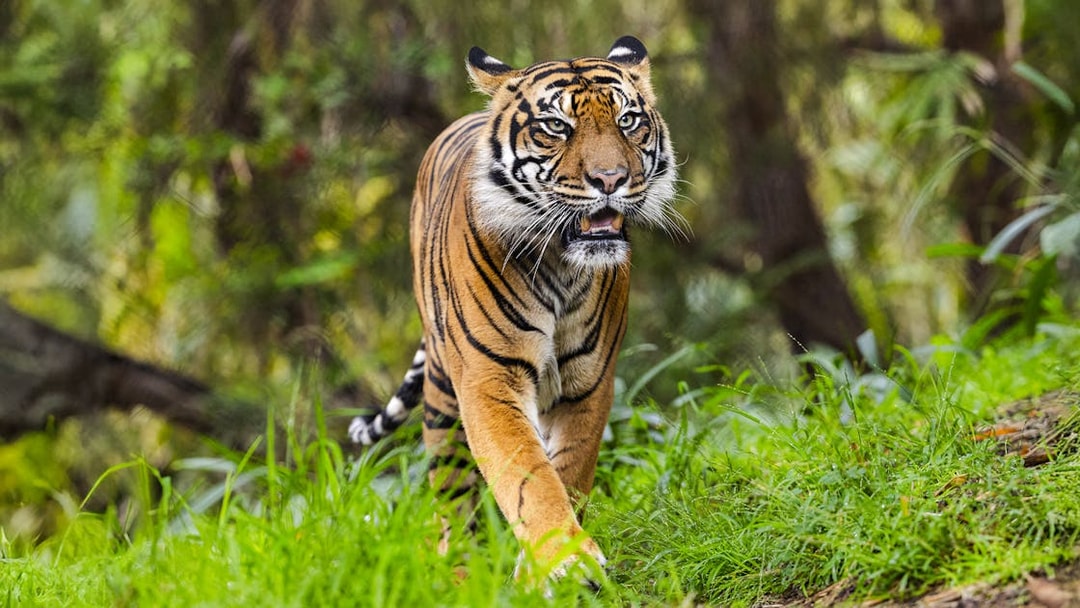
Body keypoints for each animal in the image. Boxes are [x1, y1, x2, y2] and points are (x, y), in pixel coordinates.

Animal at [349, 35, 679, 581]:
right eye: (557, 127)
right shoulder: (489, 380)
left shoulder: (589, 383)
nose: (610, 179)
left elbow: (567, 471)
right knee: (452, 496)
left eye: (628, 120)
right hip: (442, 397)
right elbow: (527, 475)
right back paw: (459, 572)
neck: (562, 267)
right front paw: (565, 562)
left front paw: (548, 568)